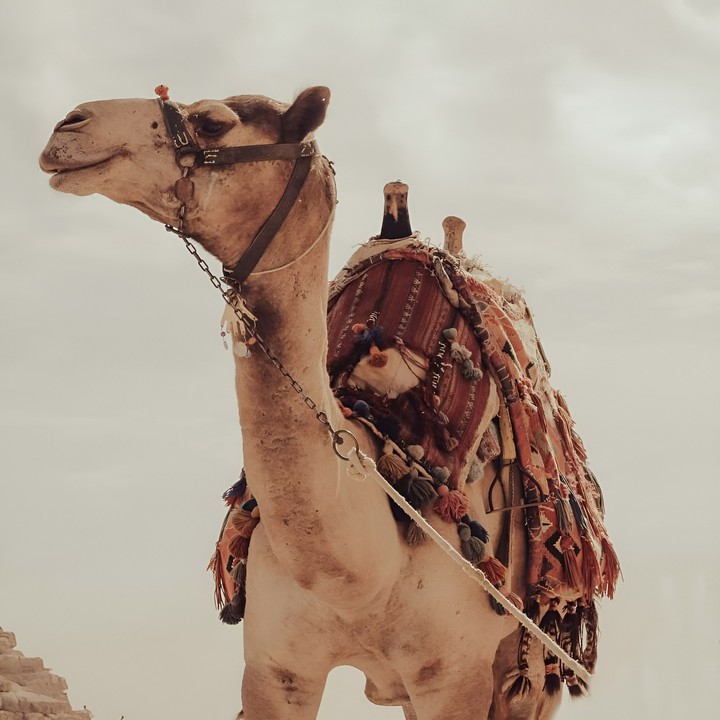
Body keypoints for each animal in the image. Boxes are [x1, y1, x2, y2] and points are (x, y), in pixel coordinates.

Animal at [40, 85, 617, 720]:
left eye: (214, 122)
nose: (69, 127)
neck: (363, 572)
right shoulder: (277, 670)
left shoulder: (452, 676)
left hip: (529, 663)